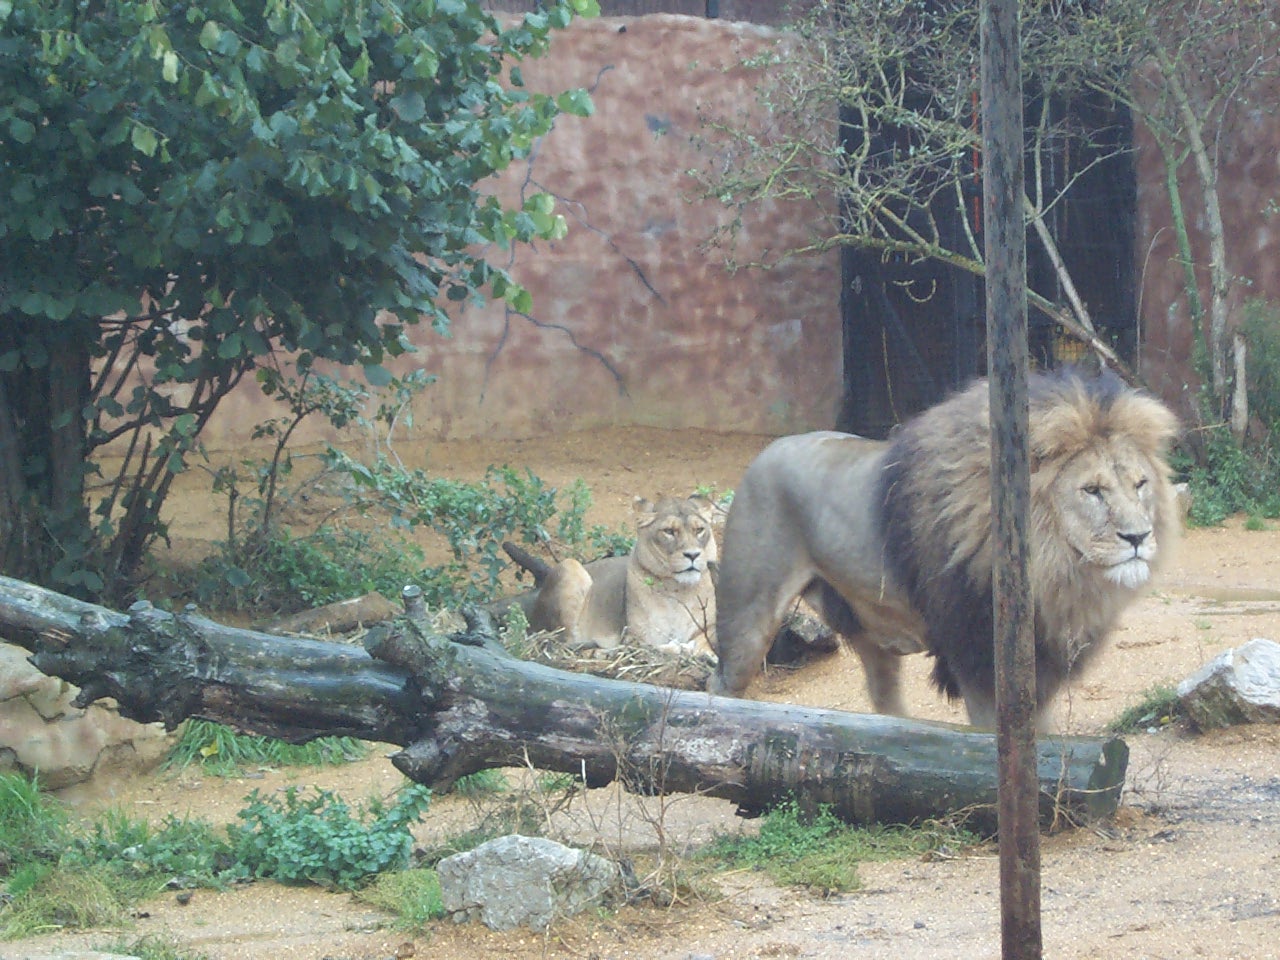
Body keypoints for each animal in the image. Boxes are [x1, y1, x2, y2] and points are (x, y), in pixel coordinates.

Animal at [504, 496, 718, 657]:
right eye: (669, 531)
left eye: (699, 530)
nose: (693, 555)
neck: (678, 590)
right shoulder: (635, 637)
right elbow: (655, 647)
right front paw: (679, 648)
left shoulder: (710, 629)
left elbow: (704, 642)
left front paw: (702, 652)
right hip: (570, 567)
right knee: (562, 641)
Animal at [708, 369, 1179, 729]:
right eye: (1092, 490)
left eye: (1140, 484)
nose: (1138, 538)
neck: (1054, 569)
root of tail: (765, 452)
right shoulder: (979, 661)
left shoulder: (1041, 664)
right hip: (747, 617)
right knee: (723, 687)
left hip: (869, 629)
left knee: (885, 703)